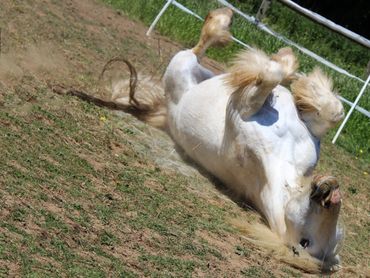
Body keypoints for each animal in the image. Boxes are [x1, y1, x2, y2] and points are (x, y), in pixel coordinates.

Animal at [162, 8, 344, 270]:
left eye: (305, 242)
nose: (330, 194)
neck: (284, 160)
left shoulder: (244, 108)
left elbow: (271, 73)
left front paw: (282, 66)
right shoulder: (310, 132)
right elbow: (333, 111)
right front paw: (292, 70)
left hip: (181, 66)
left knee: (199, 47)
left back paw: (221, 20)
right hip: (202, 72)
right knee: (201, 51)